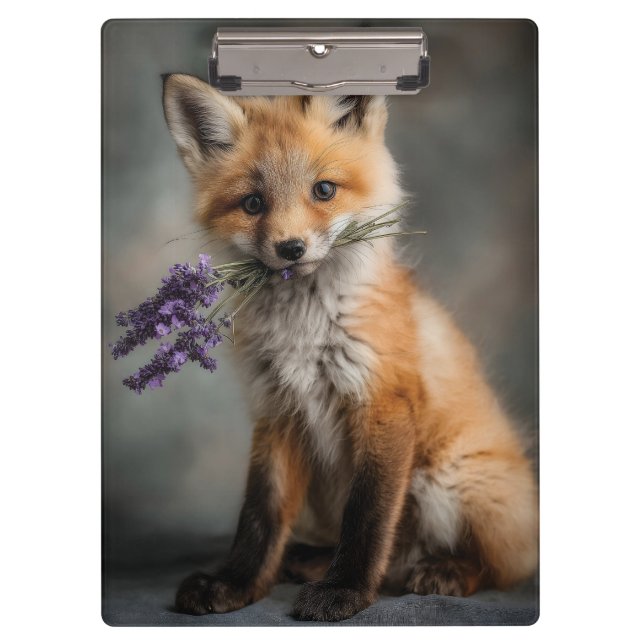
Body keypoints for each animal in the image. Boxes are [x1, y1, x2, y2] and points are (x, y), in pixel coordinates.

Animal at [162, 73, 538, 622]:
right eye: (252, 204)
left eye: (324, 190)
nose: (290, 248)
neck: (305, 333)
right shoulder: (276, 411)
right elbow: (259, 515)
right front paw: (237, 582)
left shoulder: (382, 404)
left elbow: (368, 517)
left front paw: (346, 591)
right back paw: (314, 562)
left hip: (446, 479)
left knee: (496, 566)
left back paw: (446, 571)